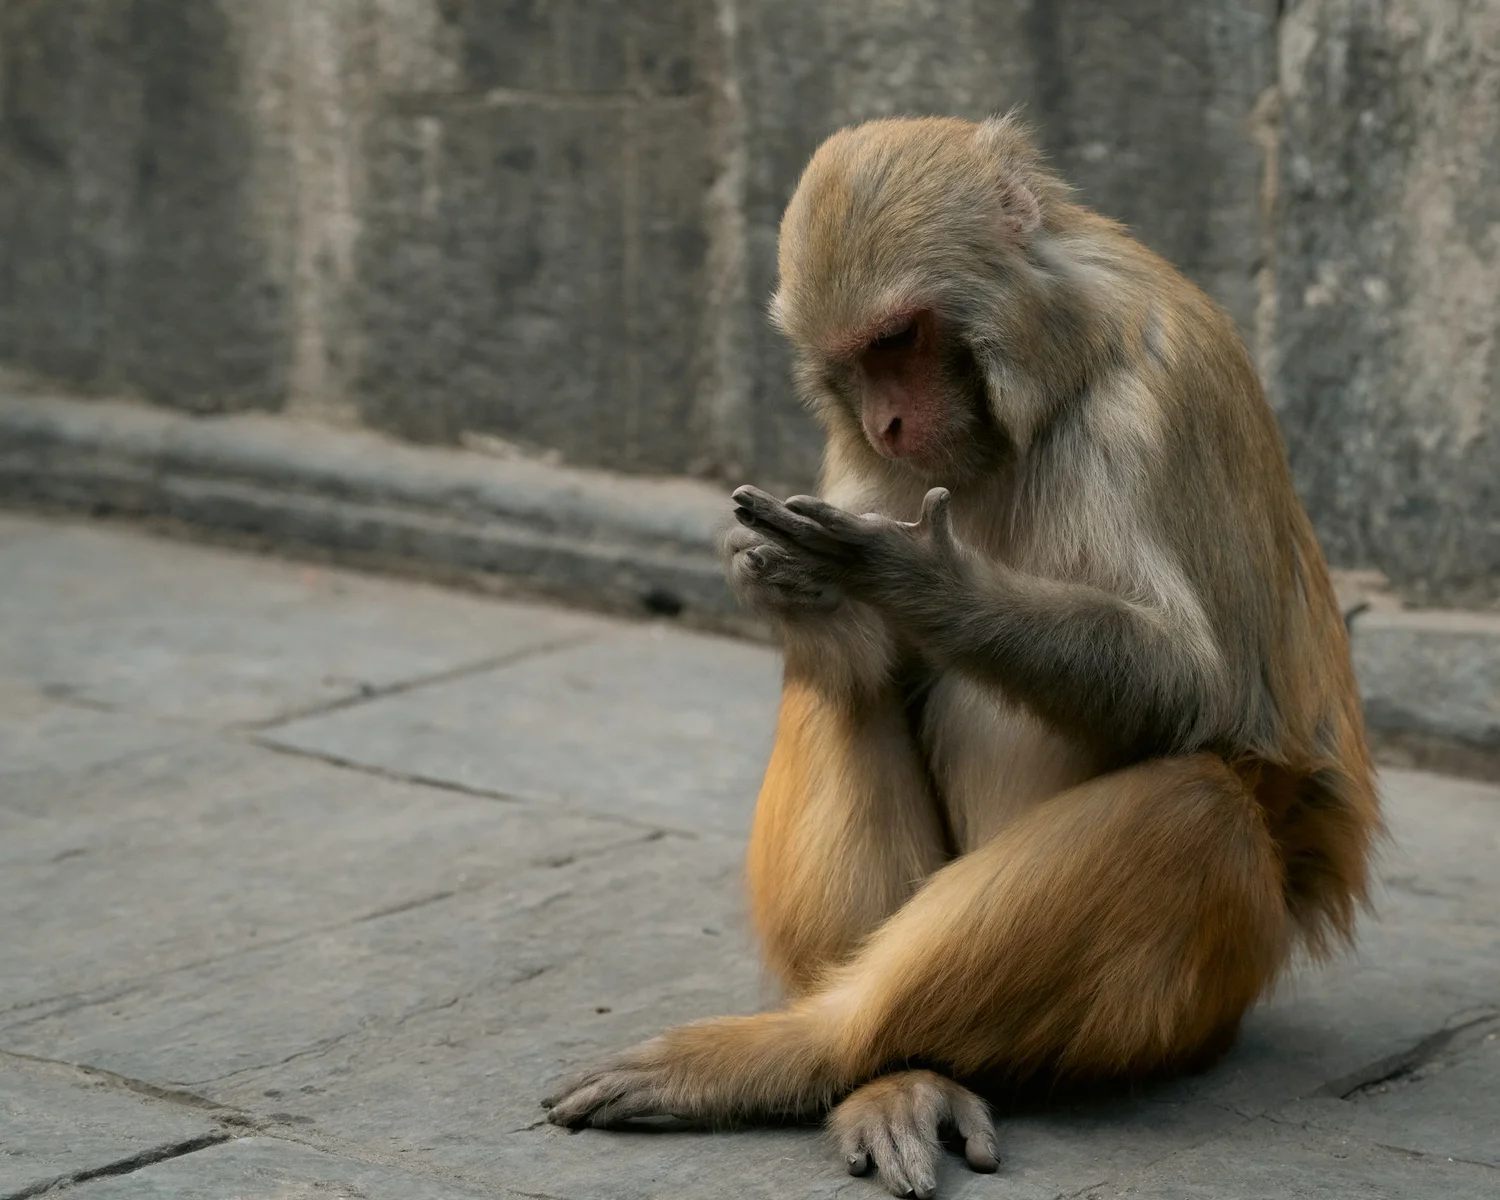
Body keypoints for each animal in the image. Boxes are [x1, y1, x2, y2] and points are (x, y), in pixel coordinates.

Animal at [545, 114, 1379, 1199]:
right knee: (849, 682)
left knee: (1192, 805)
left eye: (899, 339)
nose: (889, 422)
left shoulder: (1144, 403)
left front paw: (923, 581)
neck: (1053, 366)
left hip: (1206, 991)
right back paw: (885, 1075)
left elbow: (1190, 680)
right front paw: (783, 580)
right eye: (855, 360)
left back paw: (812, 1047)